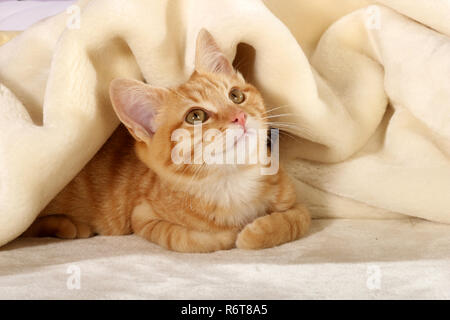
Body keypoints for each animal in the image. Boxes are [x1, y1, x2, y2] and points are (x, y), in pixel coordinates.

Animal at [22, 29, 312, 252]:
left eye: (236, 96)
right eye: (196, 116)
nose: (239, 116)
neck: (231, 180)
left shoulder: (298, 203)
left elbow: (297, 219)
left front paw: (258, 231)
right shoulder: (142, 217)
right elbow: (187, 239)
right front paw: (229, 234)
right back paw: (69, 226)